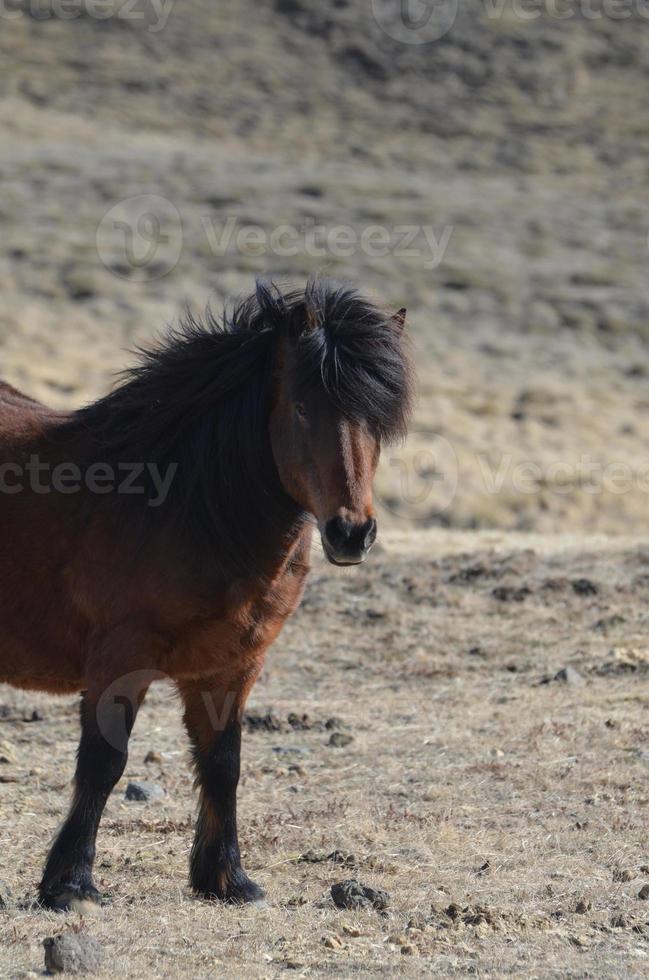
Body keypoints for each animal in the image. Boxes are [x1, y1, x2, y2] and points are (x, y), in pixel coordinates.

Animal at [0, 278, 412, 912]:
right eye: (301, 408)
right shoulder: (122, 657)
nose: (351, 533)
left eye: (379, 418)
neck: (185, 504)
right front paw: (70, 885)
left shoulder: (233, 666)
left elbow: (223, 763)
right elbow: (104, 761)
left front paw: (227, 880)